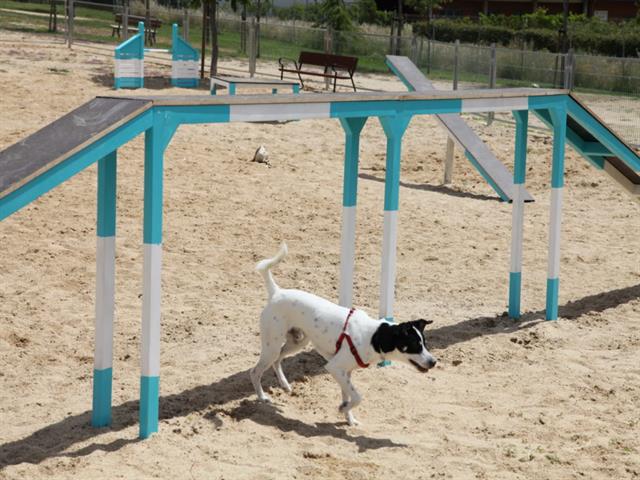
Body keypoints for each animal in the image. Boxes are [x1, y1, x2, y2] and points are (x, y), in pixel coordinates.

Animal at [248, 246, 438, 426]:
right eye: (414, 345)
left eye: (425, 343)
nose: (434, 362)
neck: (374, 336)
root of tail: (277, 292)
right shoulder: (334, 367)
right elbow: (358, 397)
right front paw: (343, 409)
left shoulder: (345, 372)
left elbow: (348, 396)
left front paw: (349, 418)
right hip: (272, 346)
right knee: (255, 371)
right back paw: (262, 397)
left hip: (298, 342)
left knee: (277, 360)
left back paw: (285, 384)